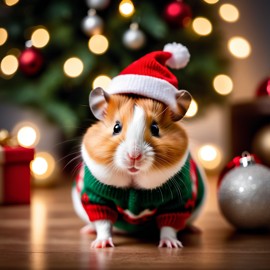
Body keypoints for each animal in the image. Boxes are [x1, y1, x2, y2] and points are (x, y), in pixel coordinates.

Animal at [72, 87, 207, 249]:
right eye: (116, 127)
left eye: (155, 128)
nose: (134, 156)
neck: (133, 178)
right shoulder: (96, 198)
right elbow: (103, 222)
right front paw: (101, 245)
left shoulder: (177, 202)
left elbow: (169, 225)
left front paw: (171, 245)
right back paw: (86, 230)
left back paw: (195, 230)